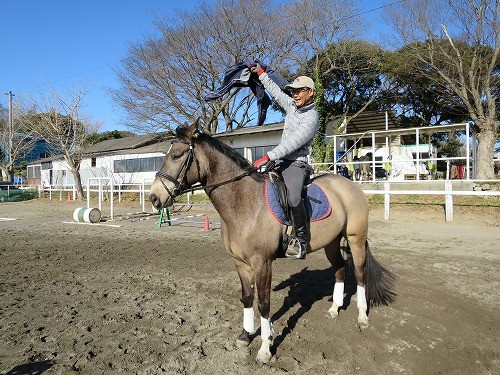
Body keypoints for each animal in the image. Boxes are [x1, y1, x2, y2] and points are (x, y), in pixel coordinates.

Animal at [148, 120, 394, 364]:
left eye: (177, 155)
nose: (154, 198)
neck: (244, 201)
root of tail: (350, 185)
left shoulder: (262, 262)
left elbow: (264, 303)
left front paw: (265, 348)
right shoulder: (240, 263)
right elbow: (247, 298)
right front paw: (245, 336)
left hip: (356, 239)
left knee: (360, 274)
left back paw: (362, 317)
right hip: (331, 243)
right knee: (340, 268)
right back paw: (334, 309)